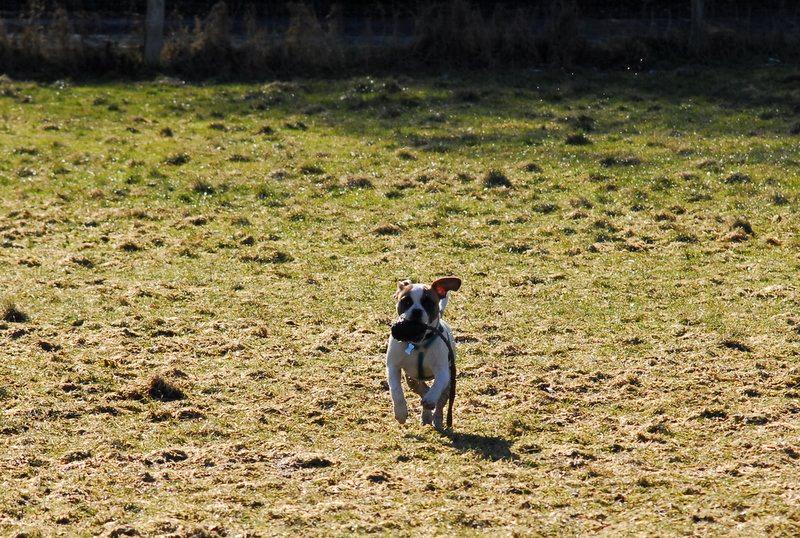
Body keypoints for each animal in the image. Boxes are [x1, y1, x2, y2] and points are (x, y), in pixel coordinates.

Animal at [388, 276, 462, 428]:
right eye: (406, 301)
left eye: (428, 302)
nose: (416, 311)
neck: (418, 343)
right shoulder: (393, 367)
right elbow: (396, 390)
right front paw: (400, 413)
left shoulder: (442, 371)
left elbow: (437, 384)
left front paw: (430, 400)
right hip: (412, 381)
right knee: (422, 390)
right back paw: (426, 415)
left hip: (449, 384)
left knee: (440, 402)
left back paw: (436, 418)